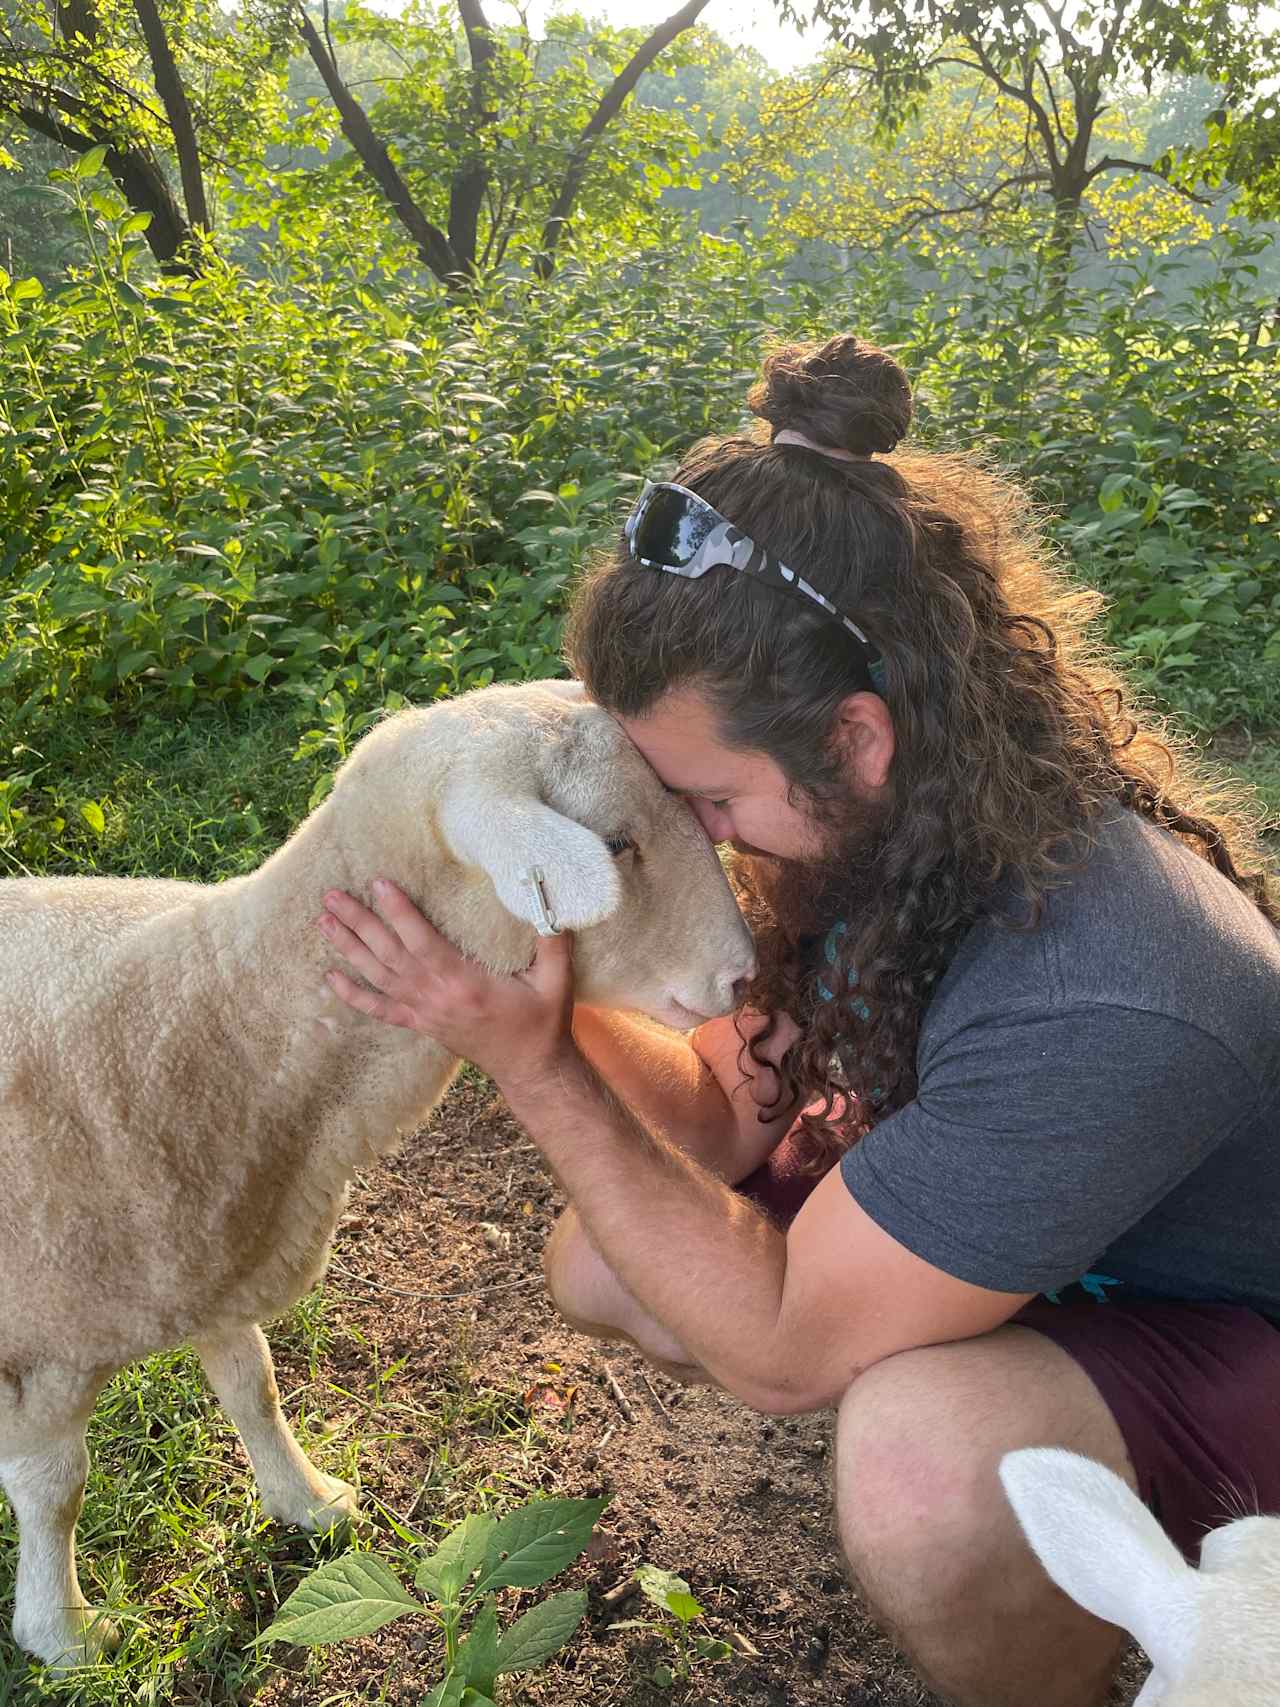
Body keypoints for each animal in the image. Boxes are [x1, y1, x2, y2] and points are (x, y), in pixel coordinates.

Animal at [0, 679, 761, 1666]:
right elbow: (56, 1487)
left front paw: (308, 1501)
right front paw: (64, 1632)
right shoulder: (41, 1347)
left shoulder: (218, 1257)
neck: (219, 1018)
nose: (746, 978)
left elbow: (253, 1386)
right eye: (619, 841)